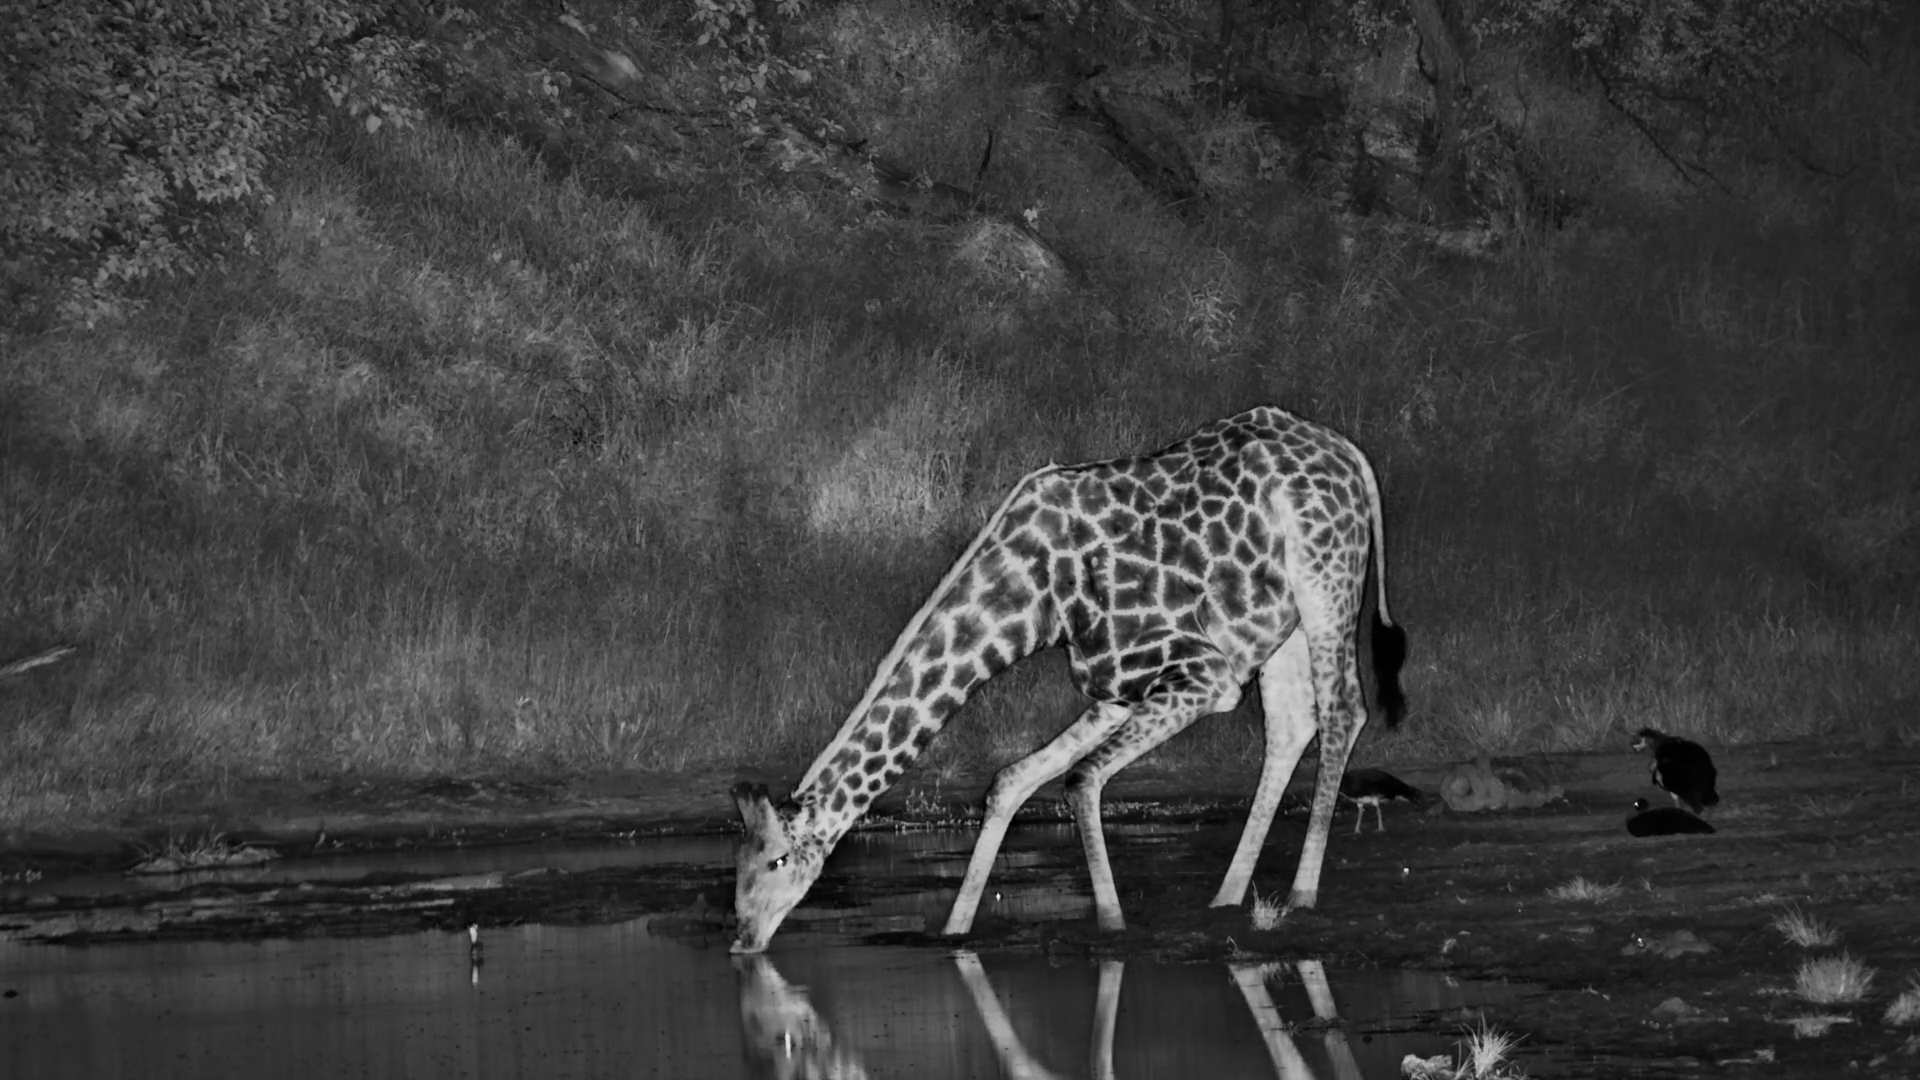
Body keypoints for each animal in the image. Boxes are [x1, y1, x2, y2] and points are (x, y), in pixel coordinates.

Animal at [730, 405, 1409, 953]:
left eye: (778, 860)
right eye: (738, 864)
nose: (743, 938)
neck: (1035, 602)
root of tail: (1350, 454)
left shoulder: (1204, 674)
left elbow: (1080, 780)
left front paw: (1111, 926)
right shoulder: (1115, 688)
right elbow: (1011, 781)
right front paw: (954, 930)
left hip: (1327, 580)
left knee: (1343, 710)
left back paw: (1299, 897)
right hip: (1278, 623)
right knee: (1293, 723)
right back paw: (1227, 898)